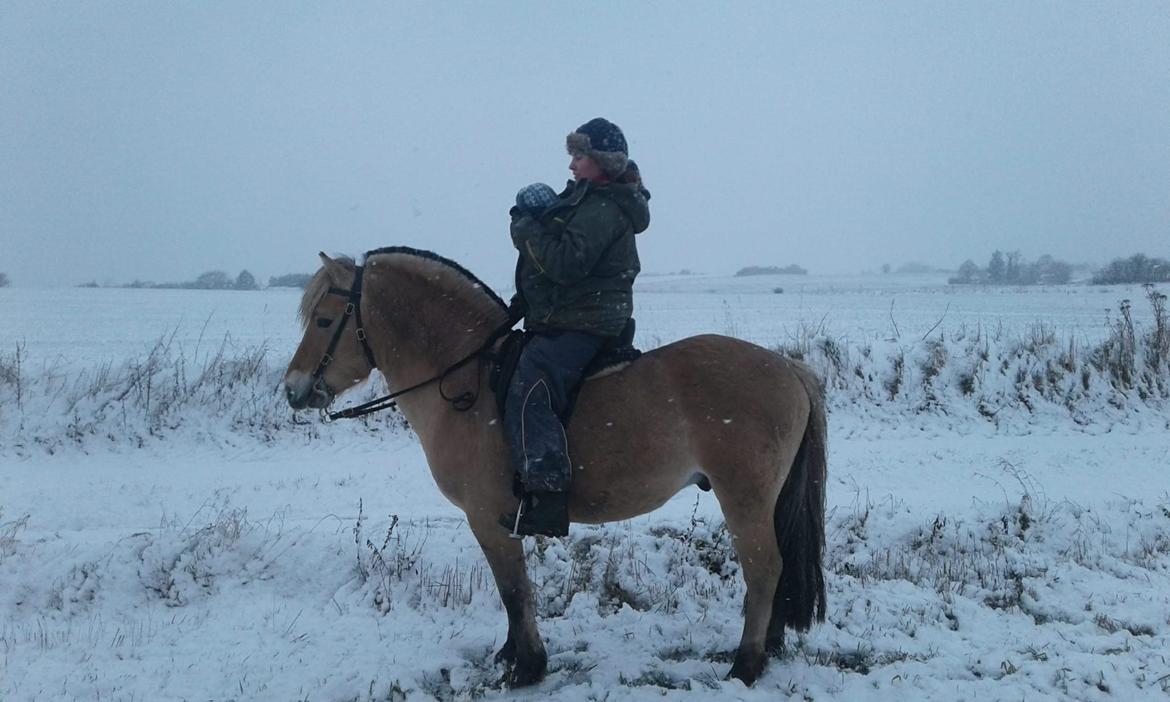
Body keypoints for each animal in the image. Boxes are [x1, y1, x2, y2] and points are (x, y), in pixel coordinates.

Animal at [281, 246, 828, 683]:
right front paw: (509, 655)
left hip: (745, 499)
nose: (292, 389)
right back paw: (768, 647)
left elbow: (514, 591)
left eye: (324, 320)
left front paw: (527, 668)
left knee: (764, 568)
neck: (466, 380)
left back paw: (746, 666)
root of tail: (789, 368)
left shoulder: (487, 518)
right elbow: (513, 593)